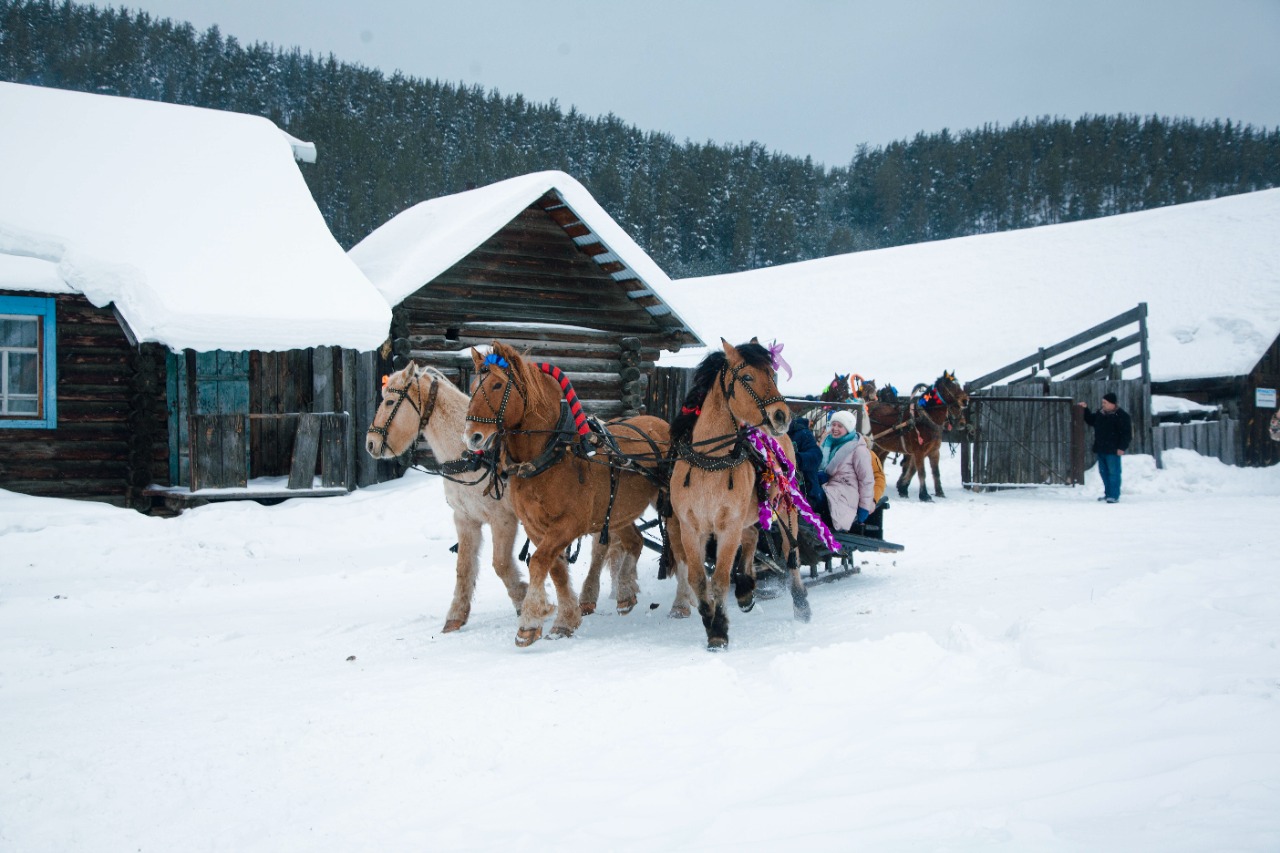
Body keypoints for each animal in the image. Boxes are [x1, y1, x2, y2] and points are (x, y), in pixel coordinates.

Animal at [463, 338, 680, 645]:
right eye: (472, 387)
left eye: (496, 385)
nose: (472, 436)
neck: (552, 453)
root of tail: (661, 424)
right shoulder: (536, 526)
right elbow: (555, 569)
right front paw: (566, 619)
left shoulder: (569, 523)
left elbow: (539, 562)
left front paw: (530, 621)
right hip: (616, 511)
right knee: (635, 541)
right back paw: (626, 591)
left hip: (671, 506)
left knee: (683, 549)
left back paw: (683, 603)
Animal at [670, 335, 808, 648]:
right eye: (747, 377)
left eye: (771, 373)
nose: (782, 416)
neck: (710, 462)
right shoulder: (690, 528)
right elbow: (699, 579)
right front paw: (710, 621)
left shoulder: (728, 526)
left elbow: (720, 578)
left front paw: (719, 630)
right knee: (753, 535)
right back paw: (745, 591)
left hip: (785, 507)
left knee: (789, 552)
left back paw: (800, 603)